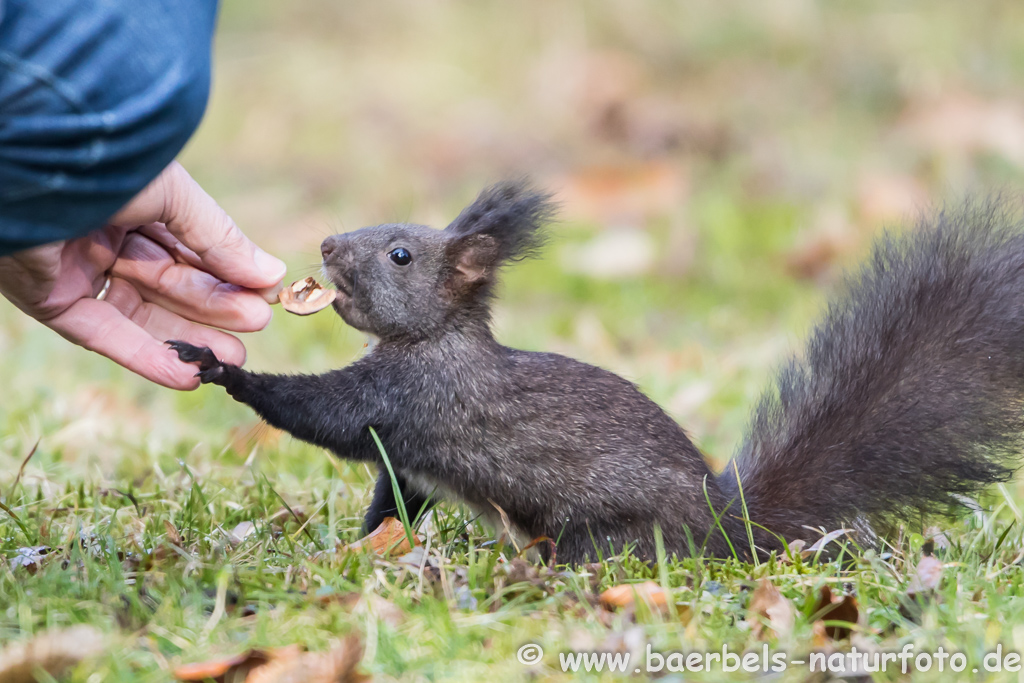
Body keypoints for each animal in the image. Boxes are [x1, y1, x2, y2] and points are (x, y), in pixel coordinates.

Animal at [169, 184, 1024, 565]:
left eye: (400, 255)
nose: (325, 245)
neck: (436, 339)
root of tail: (722, 523)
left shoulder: (411, 395)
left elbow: (326, 417)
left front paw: (223, 370)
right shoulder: (408, 447)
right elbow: (394, 491)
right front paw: (368, 539)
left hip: (604, 531)